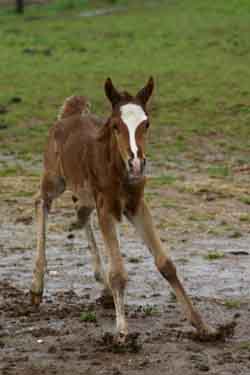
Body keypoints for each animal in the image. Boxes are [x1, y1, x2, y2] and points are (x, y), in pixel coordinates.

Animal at [30, 79, 213, 344]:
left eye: (146, 123)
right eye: (116, 126)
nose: (136, 163)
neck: (118, 171)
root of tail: (68, 116)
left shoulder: (137, 205)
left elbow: (166, 263)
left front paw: (202, 325)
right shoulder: (106, 207)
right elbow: (118, 272)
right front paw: (123, 333)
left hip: (84, 194)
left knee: (81, 214)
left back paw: (104, 289)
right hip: (55, 179)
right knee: (40, 202)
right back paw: (36, 288)